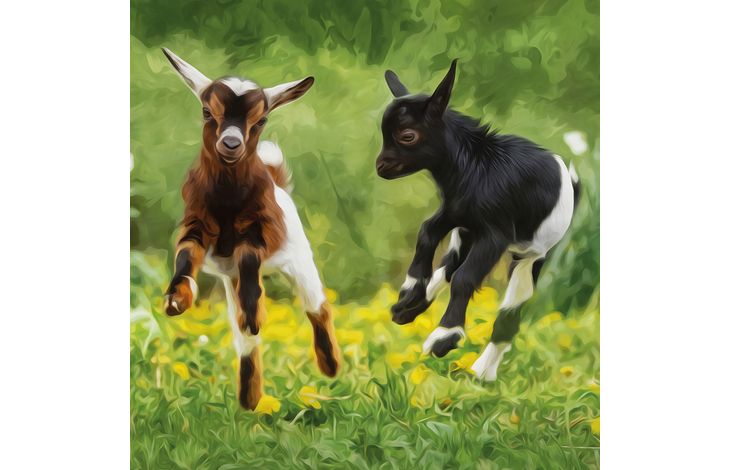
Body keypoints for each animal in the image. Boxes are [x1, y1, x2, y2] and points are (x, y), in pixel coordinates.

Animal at [161, 48, 340, 409]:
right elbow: (185, 256)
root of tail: (277, 180)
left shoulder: (262, 231)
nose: (231, 143)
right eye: (207, 111)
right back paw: (250, 399)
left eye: (261, 120)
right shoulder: (196, 225)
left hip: (300, 261)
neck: (228, 198)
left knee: (317, 307)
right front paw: (177, 299)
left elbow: (248, 256)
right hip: (229, 282)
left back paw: (330, 366)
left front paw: (255, 315)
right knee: (245, 342)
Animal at [376, 60, 580, 381]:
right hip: (466, 235)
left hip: (530, 256)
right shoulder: (455, 213)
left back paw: (483, 372)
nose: (380, 167)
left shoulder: (495, 233)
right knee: (447, 267)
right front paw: (410, 291)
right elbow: (426, 232)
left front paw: (444, 338)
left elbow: (465, 278)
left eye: (407, 135)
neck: (476, 165)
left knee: (507, 316)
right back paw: (409, 308)